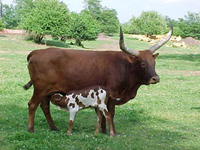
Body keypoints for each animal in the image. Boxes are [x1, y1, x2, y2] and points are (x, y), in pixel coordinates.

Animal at [23, 23, 173, 135]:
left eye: (153, 63)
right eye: (142, 63)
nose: (155, 78)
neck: (126, 66)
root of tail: (37, 52)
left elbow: (103, 113)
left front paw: (103, 130)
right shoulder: (112, 95)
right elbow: (111, 113)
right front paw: (112, 132)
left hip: (48, 90)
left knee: (44, 106)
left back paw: (54, 127)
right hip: (40, 88)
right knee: (32, 104)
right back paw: (31, 129)